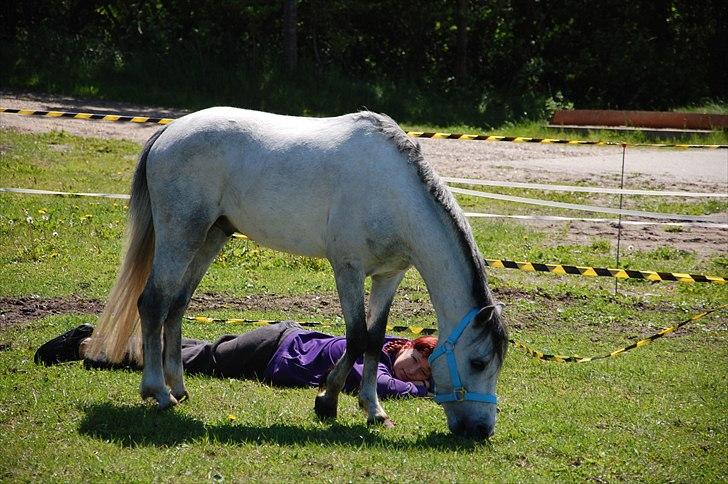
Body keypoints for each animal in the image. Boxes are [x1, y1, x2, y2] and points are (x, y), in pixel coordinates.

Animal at [88, 107, 510, 438]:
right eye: (478, 362)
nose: (482, 430)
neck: (393, 194)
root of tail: (169, 131)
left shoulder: (388, 276)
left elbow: (374, 339)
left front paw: (374, 410)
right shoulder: (348, 270)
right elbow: (356, 336)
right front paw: (327, 401)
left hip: (210, 237)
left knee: (176, 306)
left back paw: (178, 388)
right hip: (181, 235)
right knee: (153, 303)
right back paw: (158, 393)